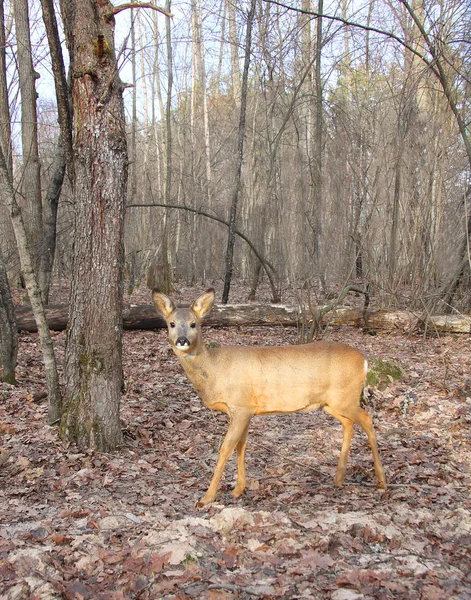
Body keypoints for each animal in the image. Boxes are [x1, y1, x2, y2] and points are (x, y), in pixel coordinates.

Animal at [154, 288, 388, 504]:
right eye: (171, 324)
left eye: (194, 324)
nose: (182, 340)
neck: (215, 370)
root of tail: (365, 361)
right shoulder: (246, 409)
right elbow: (241, 445)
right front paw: (238, 490)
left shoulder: (240, 406)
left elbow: (226, 448)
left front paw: (207, 497)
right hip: (330, 403)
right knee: (349, 424)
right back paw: (339, 478)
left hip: (345, 397)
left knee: (367, 420)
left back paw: (381, 481)